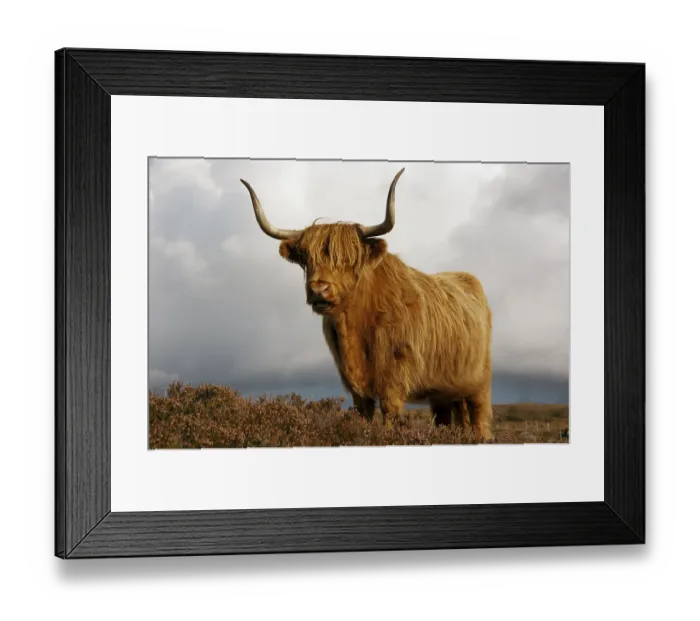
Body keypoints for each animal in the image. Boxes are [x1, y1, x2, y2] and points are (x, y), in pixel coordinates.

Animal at [240, 169, 494, 442]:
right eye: (306, 258)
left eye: (350, 259)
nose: (319, 289)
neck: (354, 325)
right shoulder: (352, 381)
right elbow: (363, 413)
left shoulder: (394, 374)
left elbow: (389, 412)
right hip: (444, 389)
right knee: (447, 418)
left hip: (479, 382)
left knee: (479, 415)